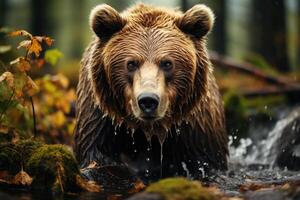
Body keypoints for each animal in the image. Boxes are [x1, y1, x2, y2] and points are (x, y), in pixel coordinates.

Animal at [74, 3, 227, 181]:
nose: (148, 100)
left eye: (167, 63)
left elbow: (204, 161)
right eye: (131, 63)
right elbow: (96, 153)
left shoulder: (195, 127)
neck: (149, 130)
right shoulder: (100, 116)